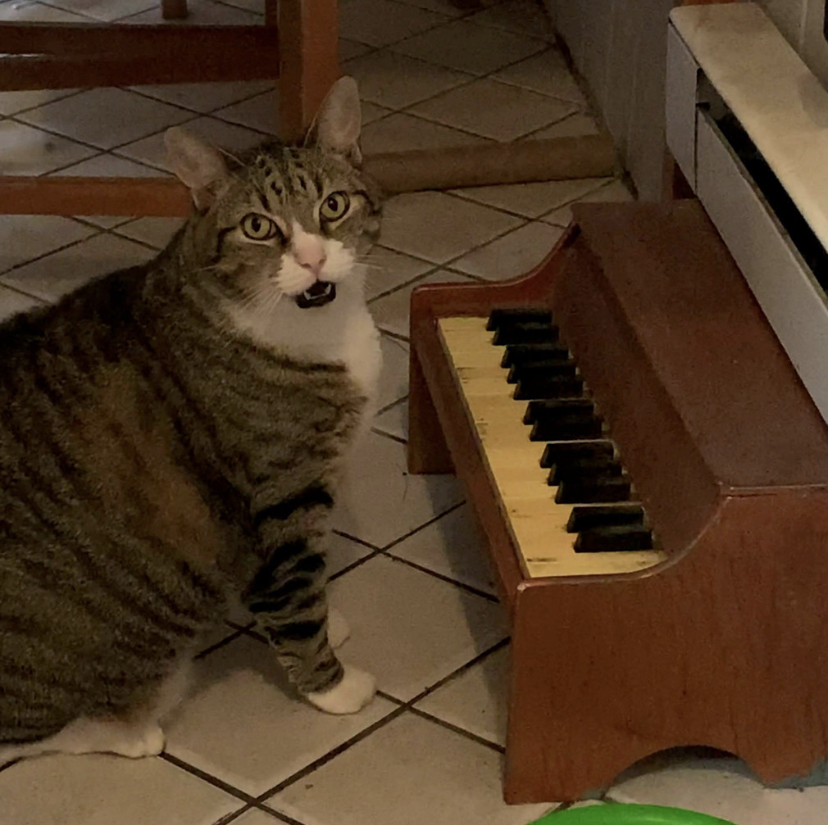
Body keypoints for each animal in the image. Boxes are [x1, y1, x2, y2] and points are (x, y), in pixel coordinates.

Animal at [0, 74, 384, 764]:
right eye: (259, 226)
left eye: (334, 205)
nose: (313, 260)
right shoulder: (279, 499)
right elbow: (295, 599)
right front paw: (333, 686)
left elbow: (307, 579)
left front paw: (331, 618)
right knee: (28, 737)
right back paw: (126, 730)